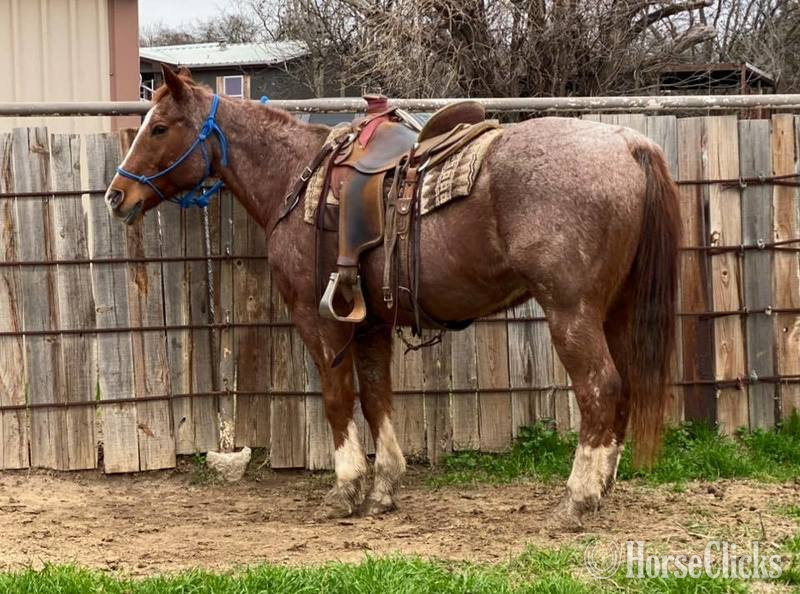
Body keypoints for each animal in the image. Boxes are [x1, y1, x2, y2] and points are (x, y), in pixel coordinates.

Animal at [105, 66, 680, 530]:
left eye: (159, 128)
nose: (116, 195)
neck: (298, 178)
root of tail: (630, 144)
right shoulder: (372, 321)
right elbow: (376, 396)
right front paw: (383, 489)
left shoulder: (319, 320)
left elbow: (338, 398)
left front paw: (345, 490)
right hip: (615, 310)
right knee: (624, 388)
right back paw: (602, 489)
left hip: (571, 312)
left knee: (600, 388)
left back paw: (577, 500)